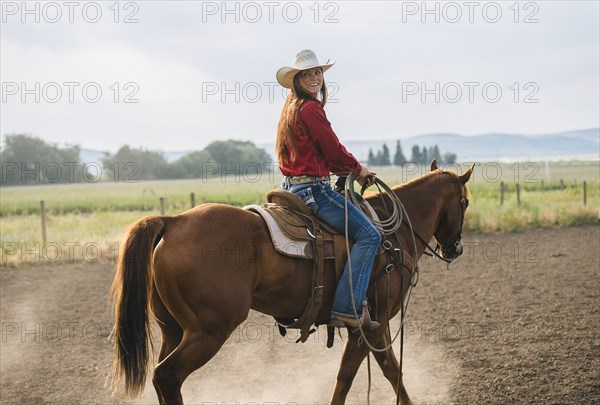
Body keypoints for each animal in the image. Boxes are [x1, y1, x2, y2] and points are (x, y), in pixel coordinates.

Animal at [108, 159, 474, 402]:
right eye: (465, 202)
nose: (456, 248)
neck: (391, 236)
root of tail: (172, 221)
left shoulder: (366, 327)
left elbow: (361, 374)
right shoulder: (372, 323)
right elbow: (375, 373)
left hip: (173, 329)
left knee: (161, 377)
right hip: (208, 331)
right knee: (168, 376)